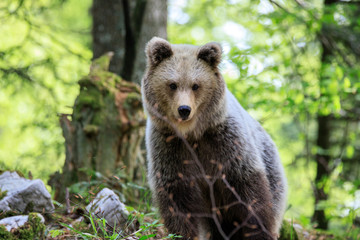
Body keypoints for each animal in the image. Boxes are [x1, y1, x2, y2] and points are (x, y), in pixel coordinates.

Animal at [141, 36, 286, 239]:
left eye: (195, 85)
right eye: (172, 84)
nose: (184, 109)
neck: (192, 133)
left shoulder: (225, 142)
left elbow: (248, 189)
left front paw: (259, 231)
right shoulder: (170, 147)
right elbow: (178, 198)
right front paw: (184, 233)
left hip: (272, 170)